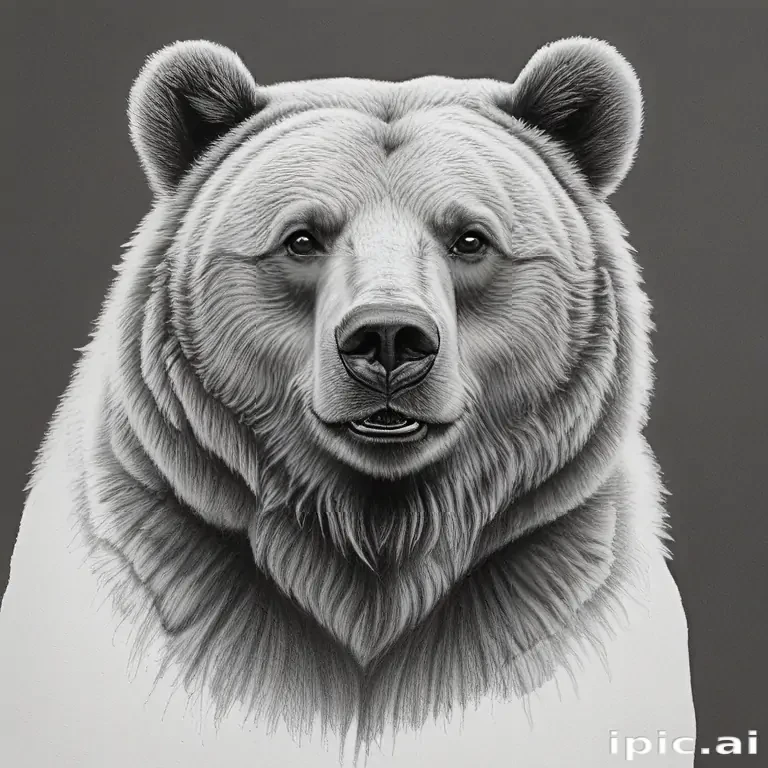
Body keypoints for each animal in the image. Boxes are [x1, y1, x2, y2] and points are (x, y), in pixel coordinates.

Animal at [0, 37, 696, 767]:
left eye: (470, 238)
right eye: (302, 237)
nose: (388, 337)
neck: (373, 543)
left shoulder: (555, 589)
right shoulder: (157, 566)